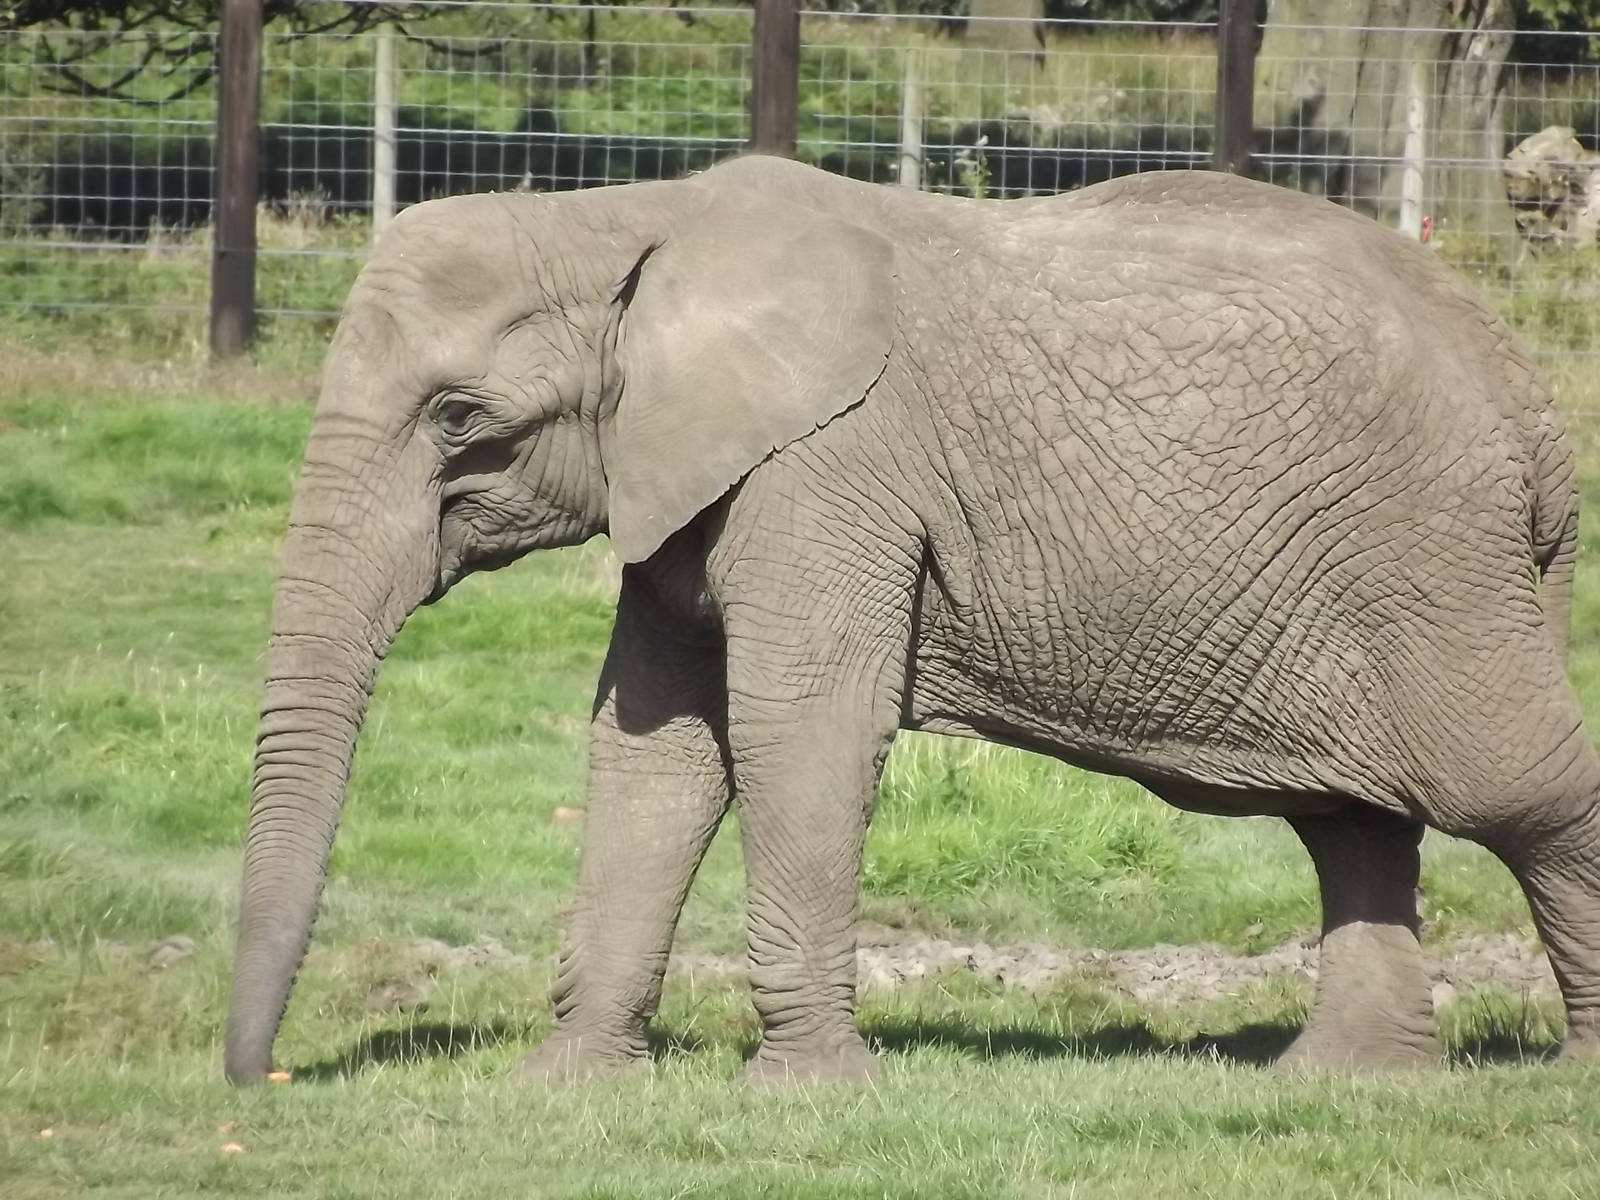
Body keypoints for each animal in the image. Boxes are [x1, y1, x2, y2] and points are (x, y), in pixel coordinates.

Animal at [225, 153, 1600, 1086]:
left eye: (458, 418)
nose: (261, 1082)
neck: (626, 218)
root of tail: (1532, 410)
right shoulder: (687, 477)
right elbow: (654, 747)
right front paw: (564, 1087)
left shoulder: (830, 467)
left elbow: (796, 730)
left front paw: (803, 1095)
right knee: (1354, 817)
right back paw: (1337, 1082)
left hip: (1431, 552)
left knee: (1511, 787)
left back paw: (1563, 1079)